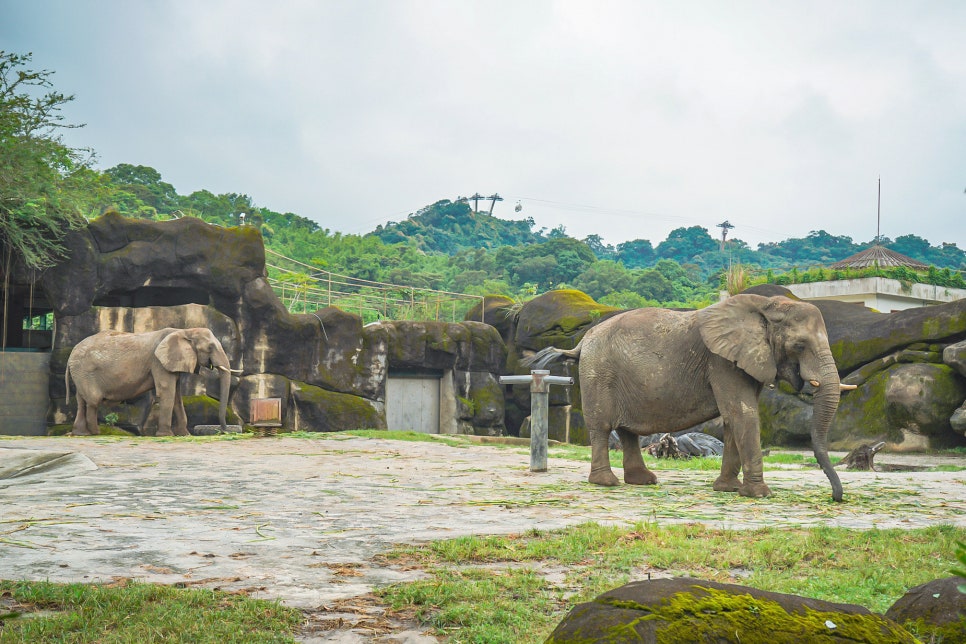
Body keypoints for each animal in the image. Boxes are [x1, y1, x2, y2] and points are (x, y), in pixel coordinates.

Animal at [66, 328, 240, 438]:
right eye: (210, 347)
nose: (225, 431)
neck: (185, 330)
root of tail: (70, 355)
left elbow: (177, 396)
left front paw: (184, 435)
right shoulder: (158, 362)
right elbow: (167, 391)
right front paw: (166, 435)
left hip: (80, 373)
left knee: (81, 401)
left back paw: (81, 433)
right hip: (85, 372)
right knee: (92, 401)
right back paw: (95, 433)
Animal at [524, 294, 852, 500]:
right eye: (799, 345)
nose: (836, 497)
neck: (765, 307)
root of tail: (581, 343)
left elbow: (733, 418)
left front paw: (727, 489)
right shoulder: (721, 361)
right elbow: (742, 414)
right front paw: (759, 495)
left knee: (628, 430)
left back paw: (643, 481)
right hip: (598, 372)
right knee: (602, 427)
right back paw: (607, 483)